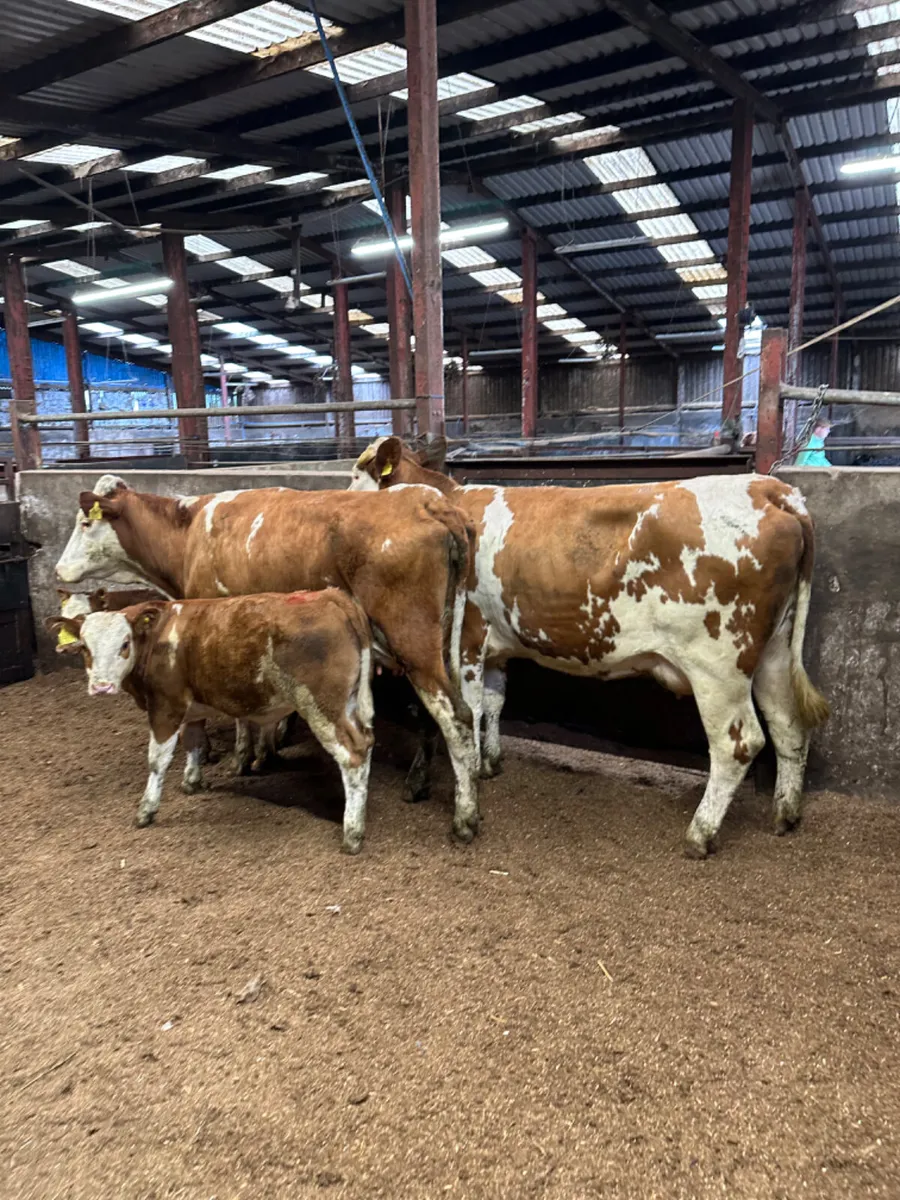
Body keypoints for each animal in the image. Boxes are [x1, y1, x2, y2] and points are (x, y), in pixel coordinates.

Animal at [47, 591, 376, 853]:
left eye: (124, 644)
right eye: (85, 648)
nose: (101, 686)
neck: (157, 634)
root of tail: (330, 596)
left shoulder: (166, 706)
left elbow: (157, 760)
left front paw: (146, 810)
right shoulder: (192, 710)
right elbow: (193, 743)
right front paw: (192, 781)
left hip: (323, 707)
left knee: (353, 755)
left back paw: (352, 834)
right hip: (351, 704)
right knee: (367, 743)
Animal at [349, 436, 829, 858]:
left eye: (355, 474)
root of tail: (770, 488)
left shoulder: (464, 639)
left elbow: (457, 712)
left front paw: (433, 782)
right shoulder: (495, 646)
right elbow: (493, 702)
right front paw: (489, 763)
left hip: (718, 665)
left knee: (739, 743)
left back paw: (700, 833)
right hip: (773, 651)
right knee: (789, 725)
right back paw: (785, 815)